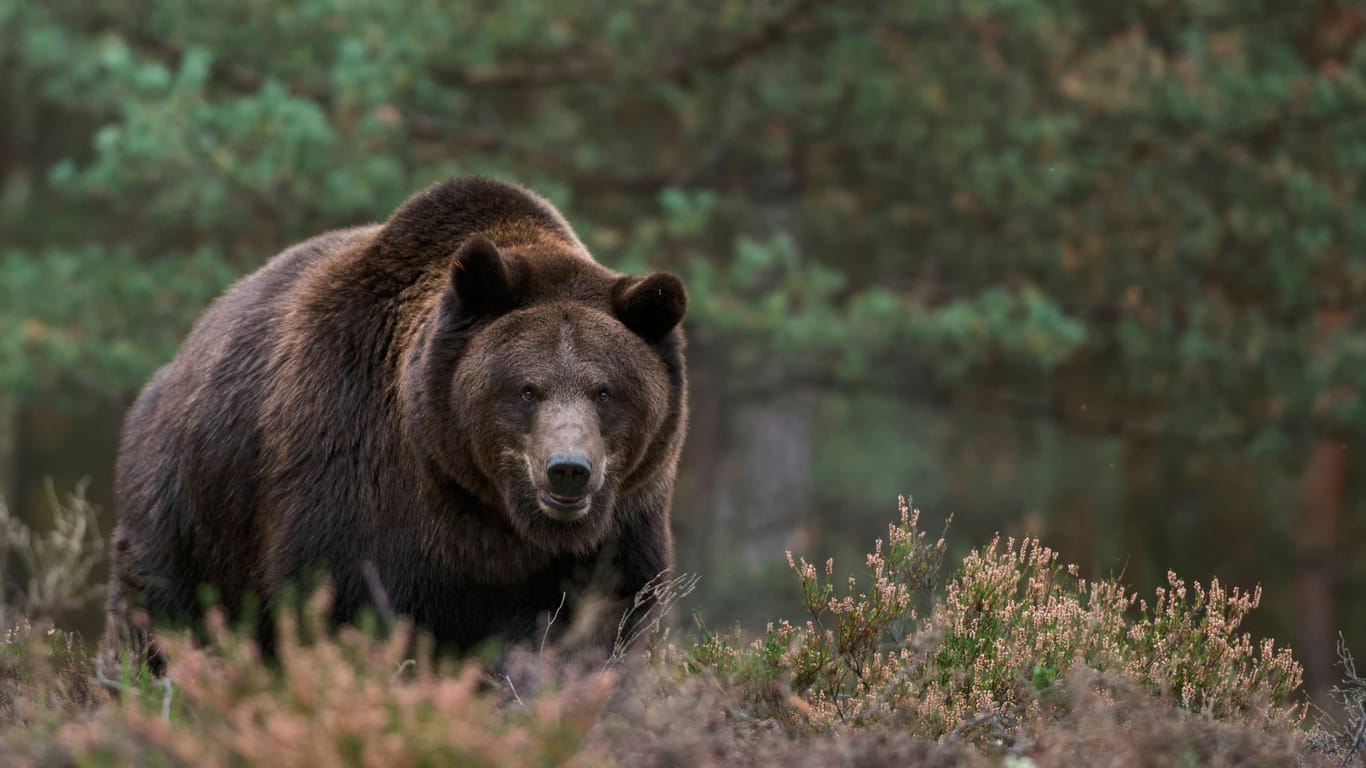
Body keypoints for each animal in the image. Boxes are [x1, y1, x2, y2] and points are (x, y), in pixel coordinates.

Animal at [101, 176, 688, 666]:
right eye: (527, 388)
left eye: (605, 391)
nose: (568, 470)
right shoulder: (357, 483)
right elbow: (345, 606)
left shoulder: (622, 521)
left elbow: (602, 619)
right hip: (189, 506)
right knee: (162, 606)